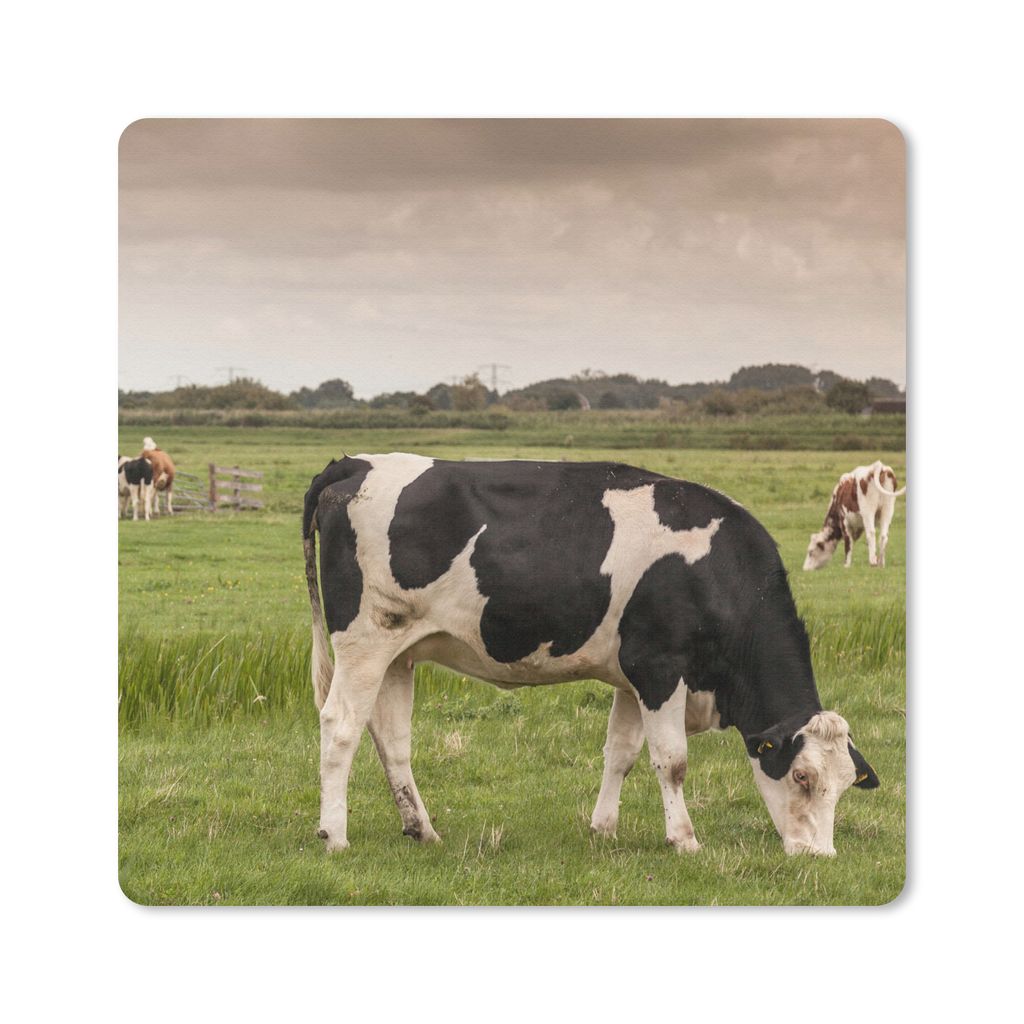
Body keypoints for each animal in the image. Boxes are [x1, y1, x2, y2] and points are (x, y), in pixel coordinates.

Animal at [303, 454, 879, 857]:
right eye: (801, 777)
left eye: (845, 785)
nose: (820, 855)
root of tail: (355, 464)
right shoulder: (659, 667)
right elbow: (672, 760)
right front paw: (685, 839)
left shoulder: (632, 677)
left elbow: (620, 753)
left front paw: (603, 829)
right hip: (363, 640)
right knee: (340, 726)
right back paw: (334, 834)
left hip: (397, 653)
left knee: (391, 739)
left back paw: (421, 830)